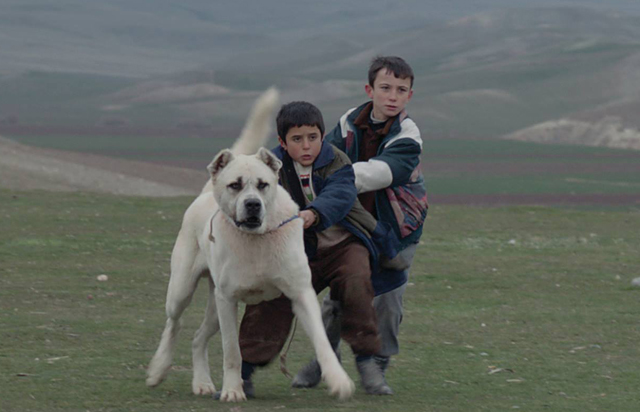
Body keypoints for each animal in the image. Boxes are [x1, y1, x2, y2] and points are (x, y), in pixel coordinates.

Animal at [146, 88, 356, 400]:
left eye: (263, 184)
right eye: (235, 185)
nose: (253, 205)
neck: (258, 240)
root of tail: (206, 192)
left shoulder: (300, 293)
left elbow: (322, 341)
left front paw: (338, 380)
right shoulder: (228, 299)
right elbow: (232, 351)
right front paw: (233, 391)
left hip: (213, 306)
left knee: (197, 337)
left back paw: (202, 382)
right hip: (184, 290)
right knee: (175, 323)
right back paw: (159, 369)